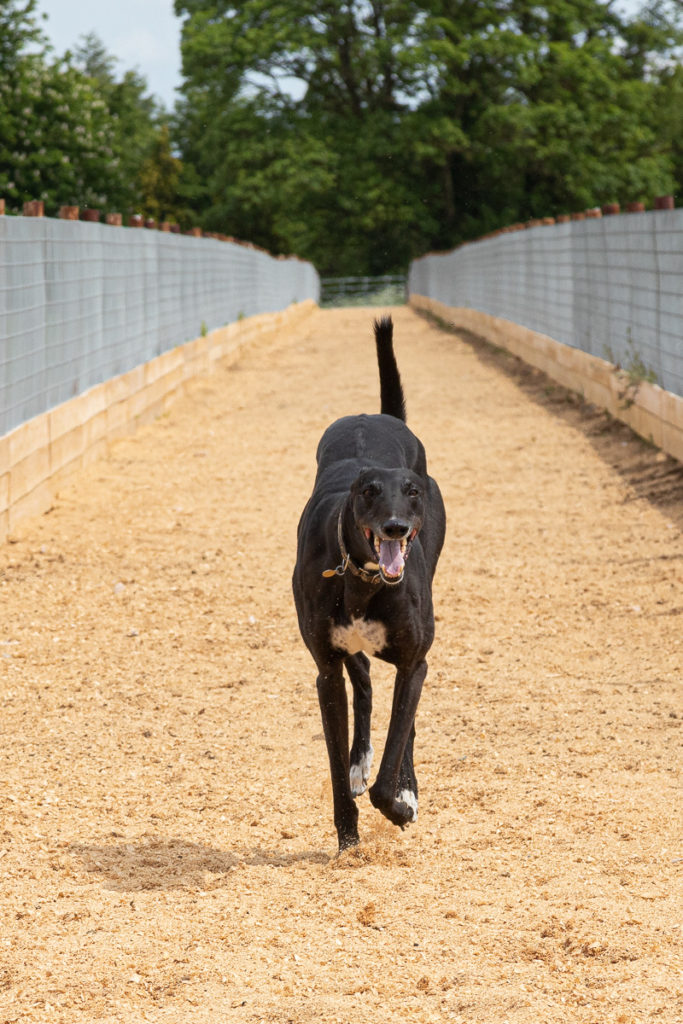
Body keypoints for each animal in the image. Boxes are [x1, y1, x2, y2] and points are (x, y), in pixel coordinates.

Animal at [290, 317, 446, 847]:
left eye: (411, 492)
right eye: (368, 491)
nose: (395, 527)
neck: (364, 580)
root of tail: (376, 415)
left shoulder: (414, 662)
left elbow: (400, 741)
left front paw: (399, 805)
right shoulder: (325, 670)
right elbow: (336, 765)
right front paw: (348, 841)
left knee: (406, 723)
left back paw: (406, 788)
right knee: (364, 685)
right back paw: (363, 763)